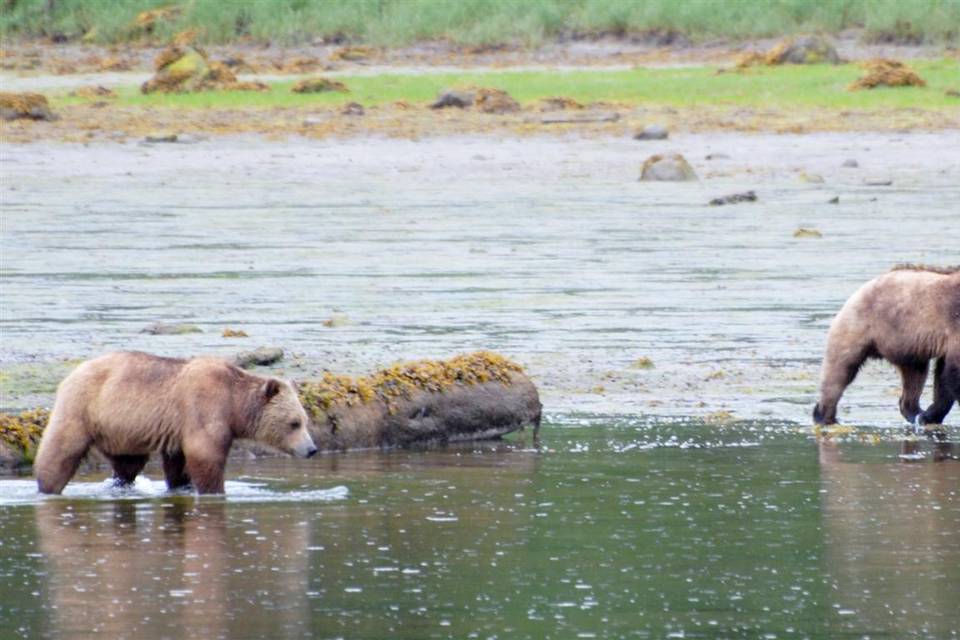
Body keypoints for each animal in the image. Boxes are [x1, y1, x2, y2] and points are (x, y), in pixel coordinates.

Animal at [33, 350, 316, 496]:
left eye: (305, 421)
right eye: (294, 423)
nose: (312, 449)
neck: (234, 404)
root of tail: (72, 373)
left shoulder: (178, 429)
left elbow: (178, 464)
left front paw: (183, 485)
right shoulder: (205, 408)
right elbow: (205, 456)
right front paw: (214, 490)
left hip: (120, 428)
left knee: (128, 463)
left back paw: (122, 483)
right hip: (82, 407)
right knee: (61, 450)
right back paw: (47, 485)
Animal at [808, 262, 960, 428]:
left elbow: (944, 376)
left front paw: (929, 416)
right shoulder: (954, 326)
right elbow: (952, 372)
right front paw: (930, 416)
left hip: (907, 344)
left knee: (914, 376)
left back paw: (915, 412)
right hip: (859, 327)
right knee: (840, 371)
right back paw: (826, 417)